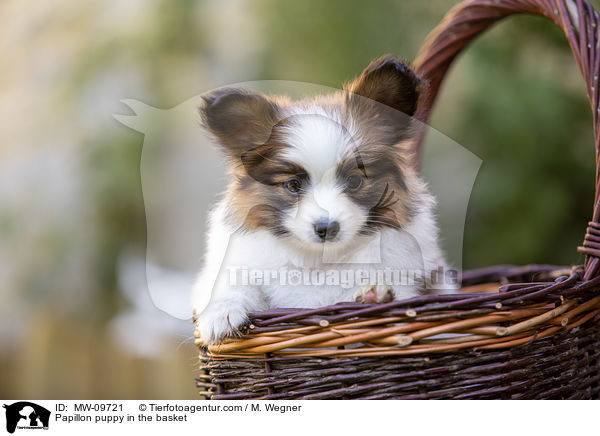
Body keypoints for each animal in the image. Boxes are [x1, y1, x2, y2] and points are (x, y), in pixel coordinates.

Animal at [191, 55, 450, 344]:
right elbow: (229, 283)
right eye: (293, 186)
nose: (326, 228)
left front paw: (373, 297)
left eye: (354, 181)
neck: (318, 261)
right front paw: (221, 315)